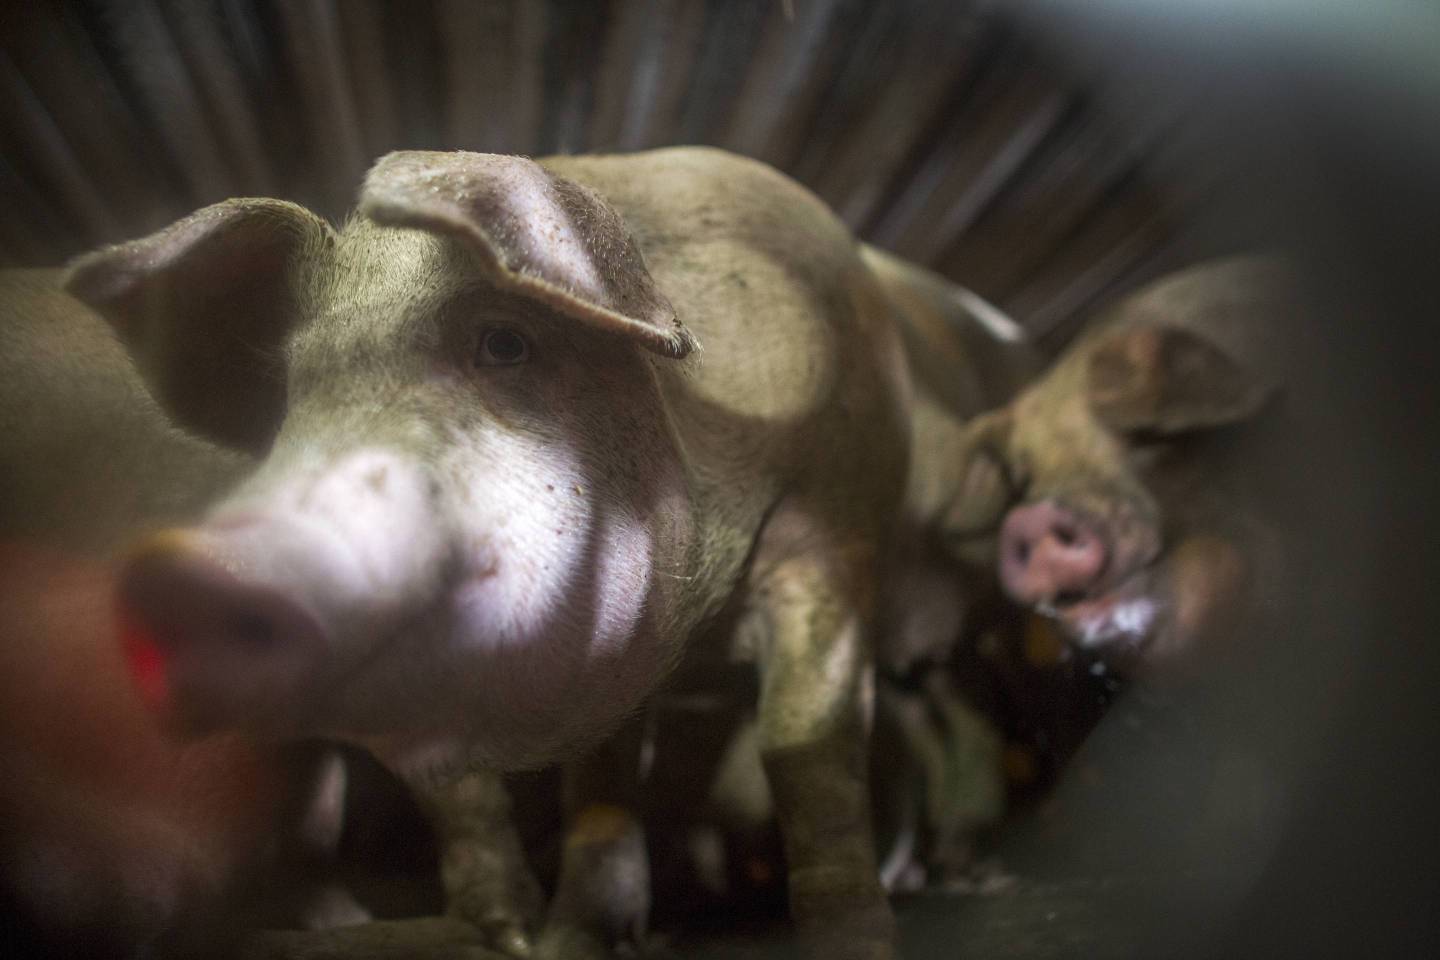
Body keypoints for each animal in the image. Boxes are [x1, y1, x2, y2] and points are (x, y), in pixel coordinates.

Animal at [64, 148, 913, 959]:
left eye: (506, 343)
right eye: (293, 392)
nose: (186, 574)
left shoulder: (833, 531)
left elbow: (805, 741)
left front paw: (857, 945)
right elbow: (520, 792)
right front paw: (529, 942)